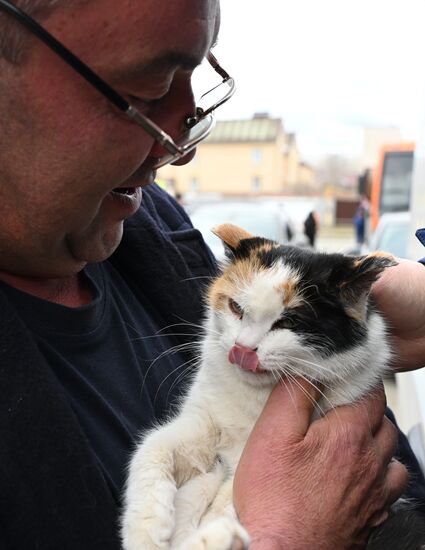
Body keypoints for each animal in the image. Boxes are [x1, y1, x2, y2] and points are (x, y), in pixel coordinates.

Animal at [121, 224, 424, 550]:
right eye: (235, 307)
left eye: (288, 322)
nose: (243, 349)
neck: (253, 396)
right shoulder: (202, 419)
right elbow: (152, 447)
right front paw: (146, 528)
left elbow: (229, 496)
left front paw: (213, 531)